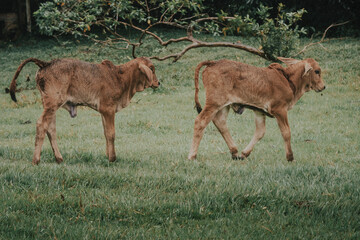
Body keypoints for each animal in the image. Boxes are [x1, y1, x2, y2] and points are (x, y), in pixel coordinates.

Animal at [9, 57, 160, 164]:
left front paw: (107, 155)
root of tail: (46, 63)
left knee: (50, 128)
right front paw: (112, 158)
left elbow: (105, 133)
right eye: (152, 69)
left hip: (50, 105)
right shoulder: (108, 108)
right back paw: (36, 160)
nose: (158, 83)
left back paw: (59, 158)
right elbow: (111, 133)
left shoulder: (103, 112)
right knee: (41, 124)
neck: (120, 77)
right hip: (53, 103)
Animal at [188, 57, 326, 161]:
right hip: (214, 103)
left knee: (220, 122)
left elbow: (260, 132)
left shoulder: (259, 111)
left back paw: (235, 152)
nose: (323, 86)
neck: (288, 80)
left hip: (223, 106)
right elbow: (286, 132)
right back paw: (192, 155)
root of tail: (213, 62)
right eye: (317, 71)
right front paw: (290, 157)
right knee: (200, 121)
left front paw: (244, 153)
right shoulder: (280, 110)